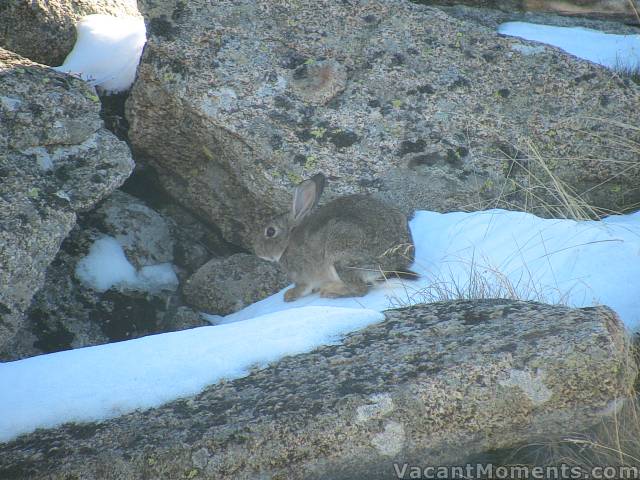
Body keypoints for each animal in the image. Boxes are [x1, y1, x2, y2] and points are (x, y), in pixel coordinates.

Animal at [252, 172, 418, 300]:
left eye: (270, 231)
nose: (257, 252)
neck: (288, 241)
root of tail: (393, 263)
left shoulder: (302, 276)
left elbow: (303, 288)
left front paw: (289, 295)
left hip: (340, 258)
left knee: (360, 290)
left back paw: (331, 292)